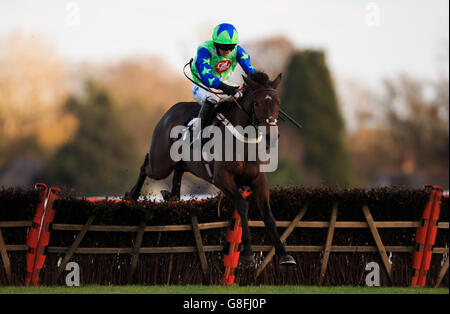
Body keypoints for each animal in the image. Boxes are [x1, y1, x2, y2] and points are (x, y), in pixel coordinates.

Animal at [125, 71, 296, 264]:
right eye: (256, 103)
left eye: (277, 102)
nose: (270, 137)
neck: (243, 142)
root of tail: (169, 112)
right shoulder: (222, 177)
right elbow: (242, 205)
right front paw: (247, 253)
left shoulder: (258, 179)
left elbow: (267, 214)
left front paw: (284, 254)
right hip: (161, 165)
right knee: (146, 164)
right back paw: (132, 195)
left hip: (181, 163)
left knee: (178, 170)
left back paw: (172, 195)